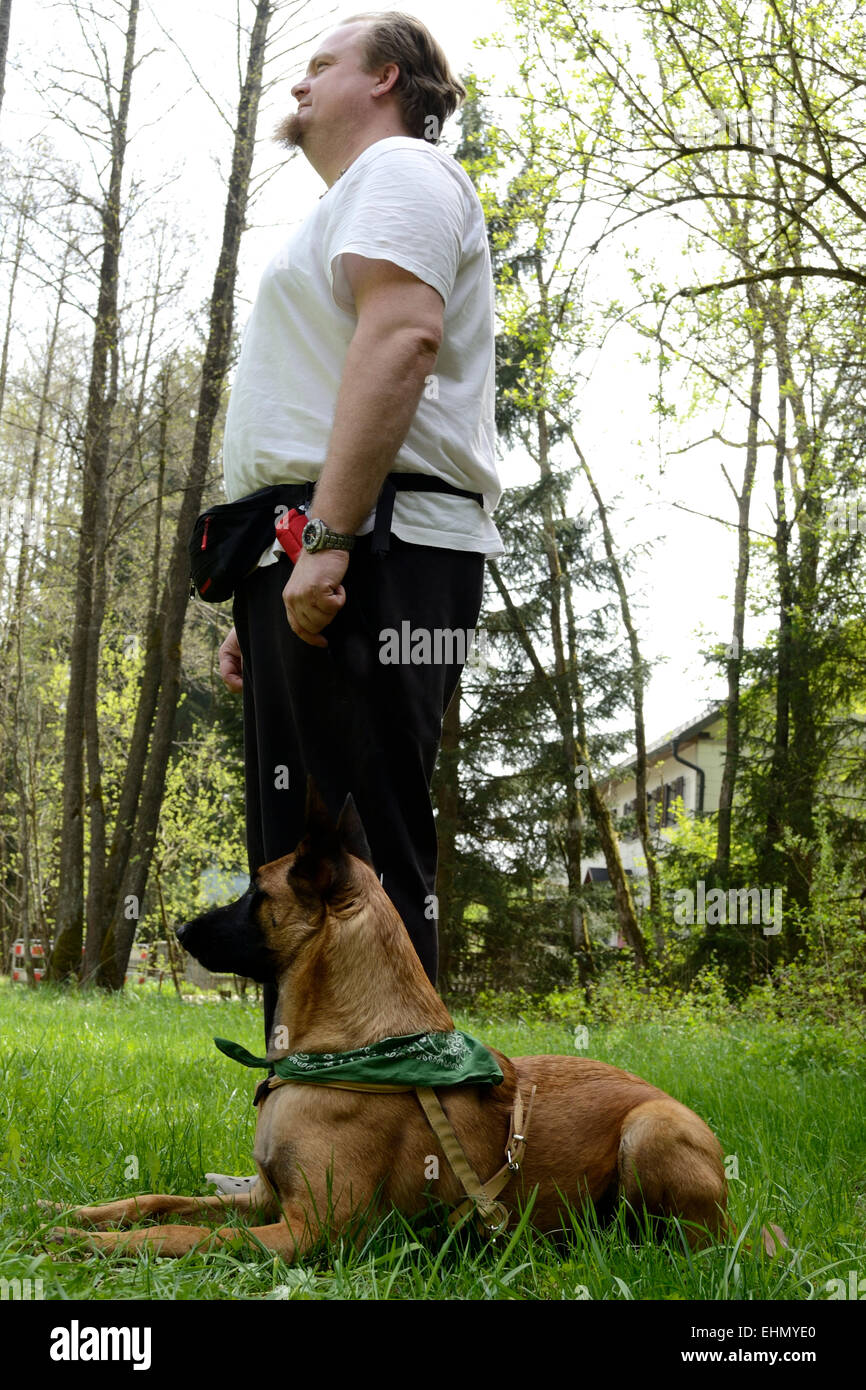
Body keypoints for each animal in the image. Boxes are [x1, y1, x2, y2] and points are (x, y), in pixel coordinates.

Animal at [47, 795, 739, 1262]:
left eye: (255, 894)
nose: (181, 930)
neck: (345, 1050)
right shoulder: (263, 1199)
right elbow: (156, 1201)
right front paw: (74, 1210)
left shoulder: (306, 1232)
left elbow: (180, 1231)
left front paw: (80, 1244)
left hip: (651, 1131)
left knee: (684, 1243)